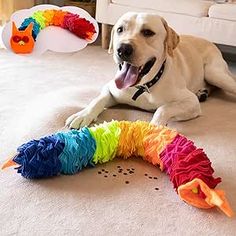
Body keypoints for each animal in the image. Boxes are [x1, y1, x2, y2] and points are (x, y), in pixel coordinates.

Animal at [66, 11, 236, 128]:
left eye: (148, 32)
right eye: (120, 29)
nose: (123, 49)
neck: (143, 87)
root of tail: (210, 41)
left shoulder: (190, 102)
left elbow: (163, 108)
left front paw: (155, 127)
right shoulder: (111, 88)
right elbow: (98, 99)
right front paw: (82, 114)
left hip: (215, 73)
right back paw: (203, 92)